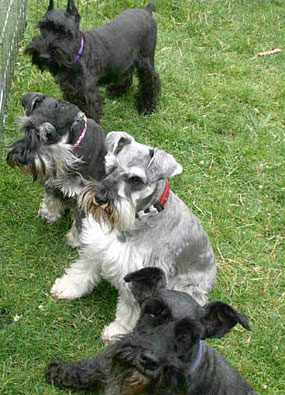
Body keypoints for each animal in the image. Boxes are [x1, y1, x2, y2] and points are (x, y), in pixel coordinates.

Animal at [7, 92, 106, 248]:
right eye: (27, 128)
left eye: (48, 135)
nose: (22, 159)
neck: (68, 154)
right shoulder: (51, 181)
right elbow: (51, 198)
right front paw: (49, 214)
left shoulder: (84, 197)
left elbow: (81, 222)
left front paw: (76, 240)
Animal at [25, 0, 161, 123]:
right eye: (42, 29)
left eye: (64, 32)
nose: (44, 56)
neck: (77, 55)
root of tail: (146, 11)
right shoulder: (71, 92)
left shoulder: (87, 97)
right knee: (128, 72)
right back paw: (117, 90)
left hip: (146, 60)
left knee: (152, 79)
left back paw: (147, 107)